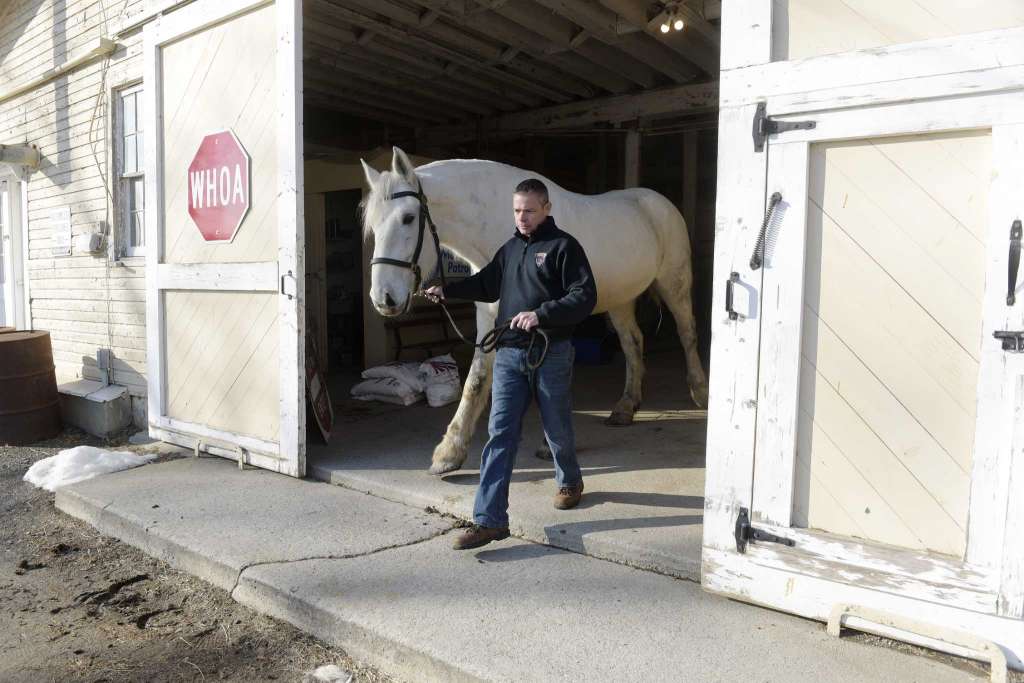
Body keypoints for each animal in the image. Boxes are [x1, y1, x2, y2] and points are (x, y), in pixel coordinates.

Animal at [364, 147, 708, 475]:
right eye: (373, 226)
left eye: (408, 218)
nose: (384, 298)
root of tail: (658, 202)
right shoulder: (489, 316)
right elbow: (476, 380)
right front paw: (449, 453)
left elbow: (552, 377)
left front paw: (549, 443)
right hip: (621, 298)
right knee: (632, 341)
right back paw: (625, 407)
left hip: (674, 282)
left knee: (687, 332)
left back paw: (701, 393)